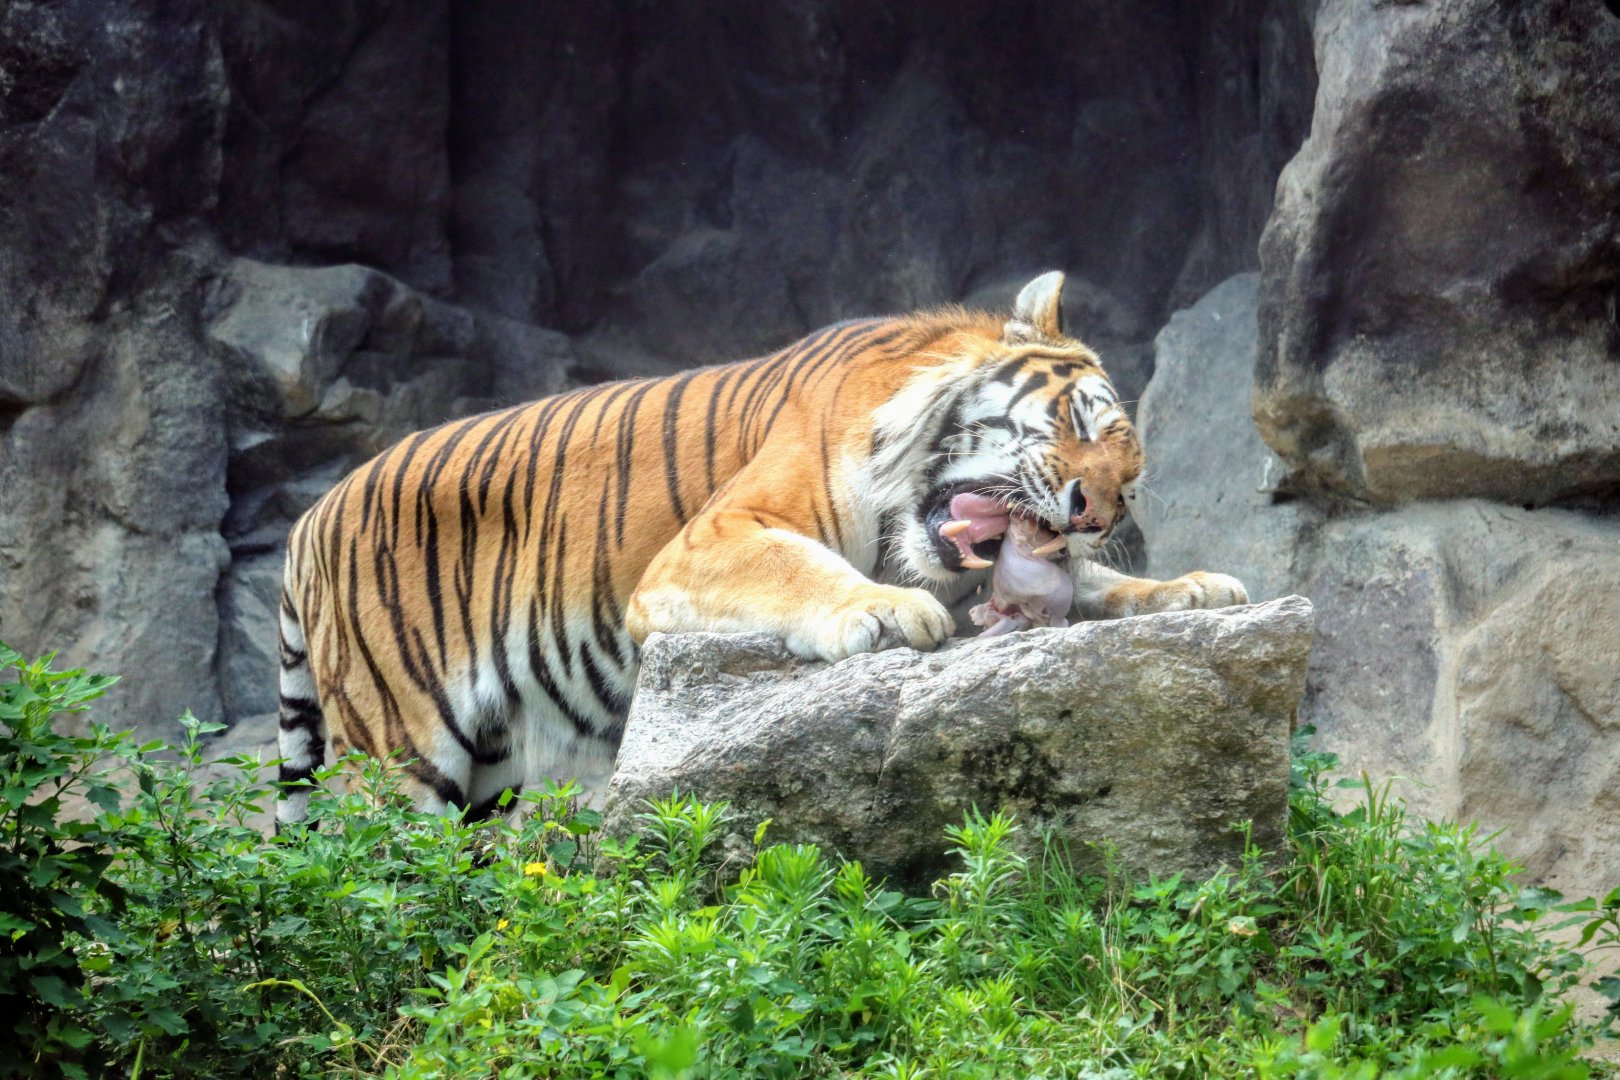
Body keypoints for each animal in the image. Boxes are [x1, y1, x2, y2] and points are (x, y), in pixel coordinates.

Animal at [274, 272, 1248, 824]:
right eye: (1081, 423)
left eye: (1130, 476)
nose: (1093, 513)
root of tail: (310, 518)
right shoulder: (709, 538)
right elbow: (803, 565)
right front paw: (886, 610)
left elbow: (1090, 588)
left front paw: (1195, 590)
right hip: (396, 757)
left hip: (485, 774)